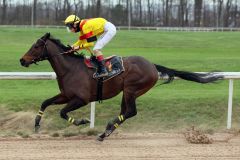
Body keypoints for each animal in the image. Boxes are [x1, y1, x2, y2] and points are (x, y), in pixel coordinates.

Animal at [19, 32, 222, 141]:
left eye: (36, 46)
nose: (22, 60)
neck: (70, 68)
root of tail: (152, 65)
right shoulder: (66, 95)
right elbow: (45, 102)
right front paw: (36, 124)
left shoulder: (81, 99)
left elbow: (62, 112)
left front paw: (82, 121)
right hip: (127, 91)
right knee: (126, 111)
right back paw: (106, 132)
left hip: (132, 89)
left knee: (131, 111)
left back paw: (107, 129)